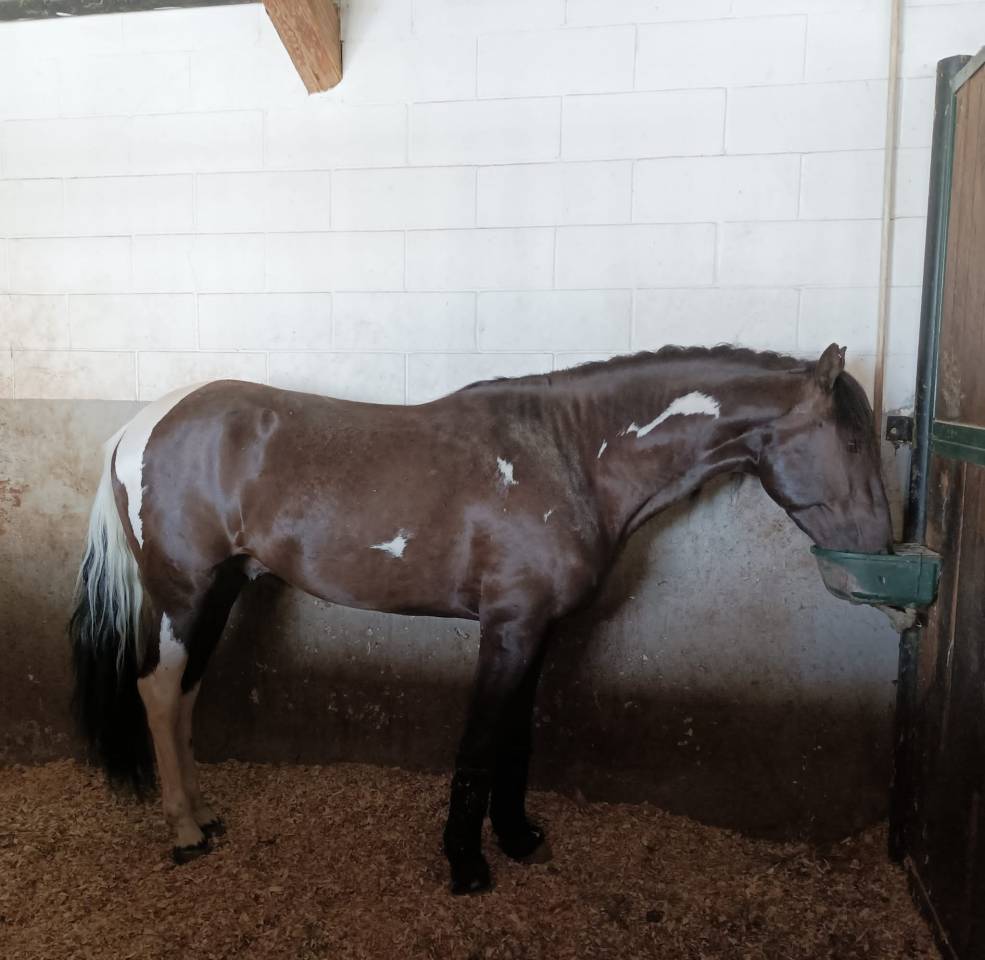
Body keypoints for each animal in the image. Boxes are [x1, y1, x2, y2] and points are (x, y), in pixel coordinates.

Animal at [69, 342, 892, 894]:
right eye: (852, 437)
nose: (879, 554)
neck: (571, 454)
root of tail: (142, 424)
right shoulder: (509, 628)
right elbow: (479, 742)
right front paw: (466, 862)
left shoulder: (538, 630)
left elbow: (516, 739)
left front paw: (519, 836)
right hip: (186, 593)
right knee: (157, 691)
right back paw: (183, 830)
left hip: (223, 592)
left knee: (185, 695)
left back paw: (205, 814)